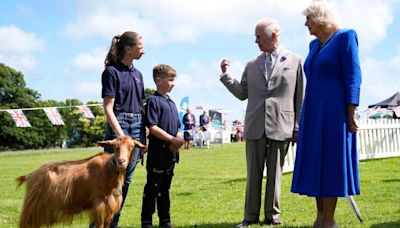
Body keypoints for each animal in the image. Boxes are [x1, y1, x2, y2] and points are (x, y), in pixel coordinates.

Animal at [16, 136, 147, 227]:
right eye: (115, 147)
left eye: (131, 147)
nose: (121, 161)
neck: (109, 170)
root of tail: (31, 175)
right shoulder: (99, 205)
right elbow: (99, 225)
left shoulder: (110, 208)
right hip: (32, 208)